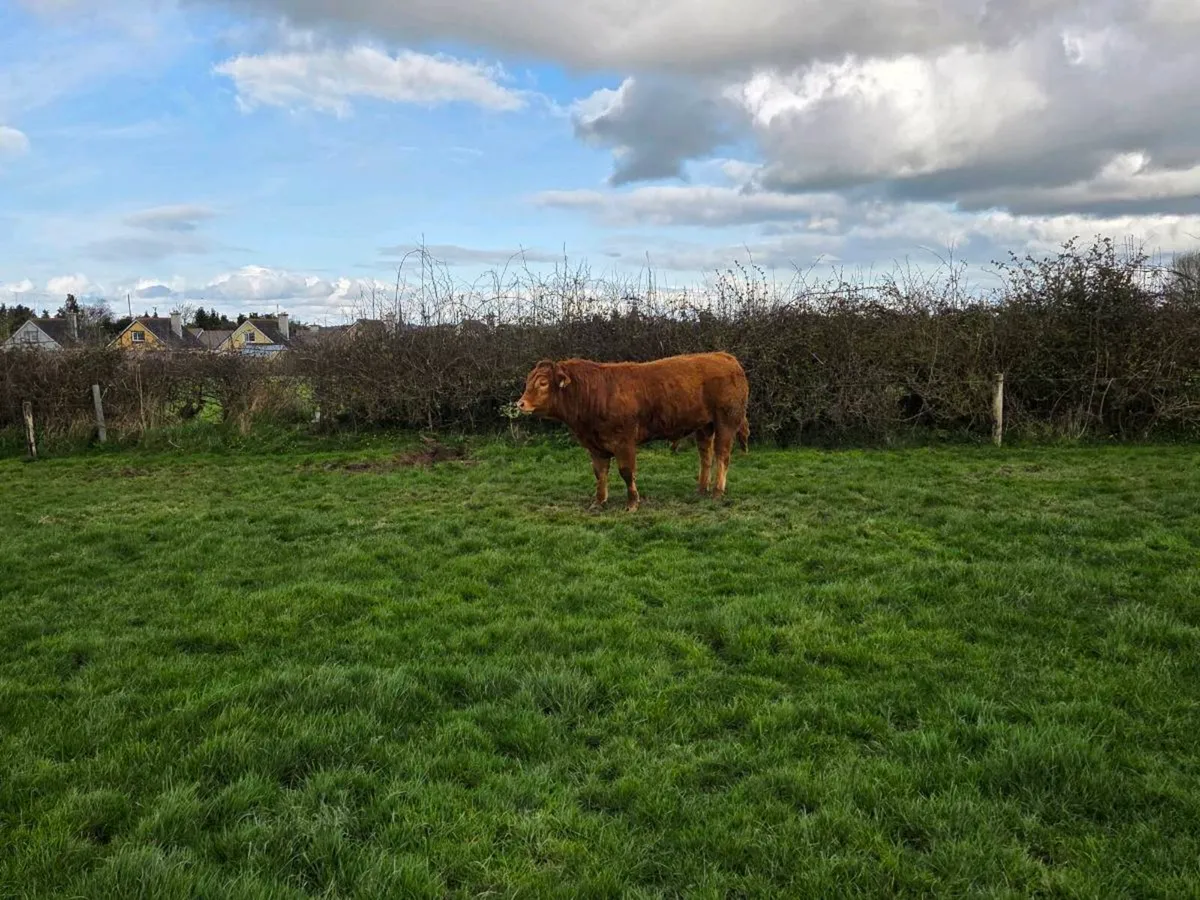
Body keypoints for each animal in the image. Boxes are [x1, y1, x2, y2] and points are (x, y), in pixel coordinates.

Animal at [516, 351, 750, 510]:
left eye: (543, 383)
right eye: (528, 381)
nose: (520, 403)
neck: (594, 393)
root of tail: (725, 356)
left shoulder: (624, 442)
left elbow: (627, 472)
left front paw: (632, 503)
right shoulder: (595, 446)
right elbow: (600, 473)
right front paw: (599, 501)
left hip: (726, 422)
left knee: (722, 455)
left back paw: (717, 492)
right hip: (704, 426)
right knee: (705, 456)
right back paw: (701, 489)